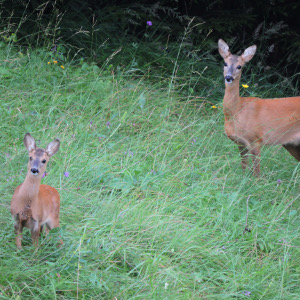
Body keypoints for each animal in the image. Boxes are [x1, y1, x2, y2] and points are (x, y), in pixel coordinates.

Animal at [218, 39, 300, 176]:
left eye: (239, 66)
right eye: (225, 63)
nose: (228, 77)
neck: (238, 110)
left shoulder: (256, 139)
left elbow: (257, 172)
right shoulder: (241, 143)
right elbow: (244, 167)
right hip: (291, 144)